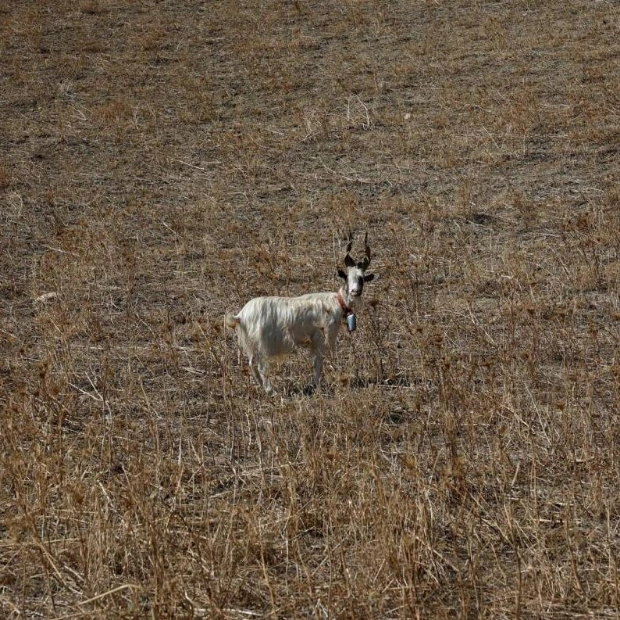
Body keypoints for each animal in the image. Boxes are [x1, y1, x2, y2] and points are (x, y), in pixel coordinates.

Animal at [225, 235, 376, 394]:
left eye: (362, 278)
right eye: (347, 277)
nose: (355, 291)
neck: (336, 302)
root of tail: (241, 315)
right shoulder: (321, 339)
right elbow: (318, 363)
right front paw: (315, 385)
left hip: (252, 344)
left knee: (252, 364)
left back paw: (263, 388)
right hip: (262, 345)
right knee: (260, 367)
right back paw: (271, 391)